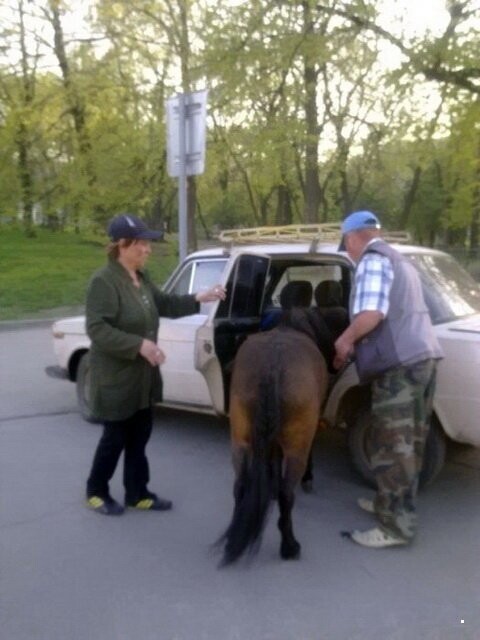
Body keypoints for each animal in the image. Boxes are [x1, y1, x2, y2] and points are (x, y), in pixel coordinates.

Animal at [217, 310, 334, 564]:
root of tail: (273, 364)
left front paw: (269, 486)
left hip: (240, 440)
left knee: (240, 485)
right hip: (296, 448)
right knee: (287, 494)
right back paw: (290, 546)